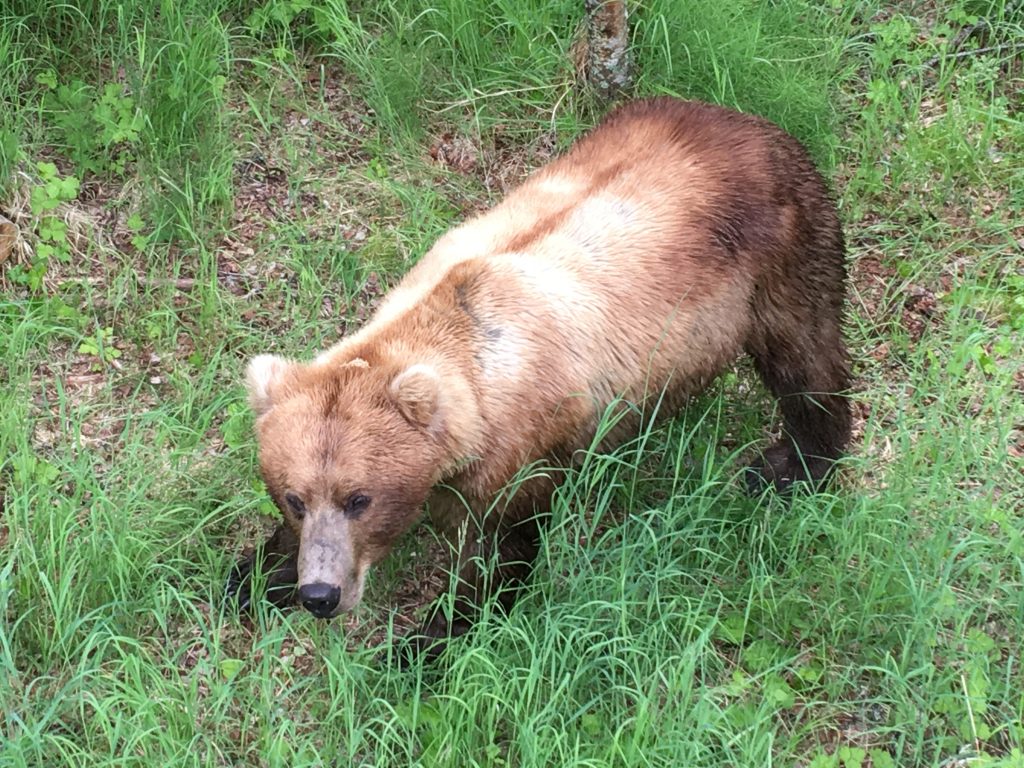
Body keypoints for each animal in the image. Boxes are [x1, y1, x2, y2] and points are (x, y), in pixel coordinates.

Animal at [228, 96, 851, 655]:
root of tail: (749, 120)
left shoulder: (514, 457)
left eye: (360, 498)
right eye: (294, 497)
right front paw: (253, 575)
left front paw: (426, 641)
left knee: (806, 357)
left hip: (780, 252)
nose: (320, 594)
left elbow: (497, 555)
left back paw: (792, 466)